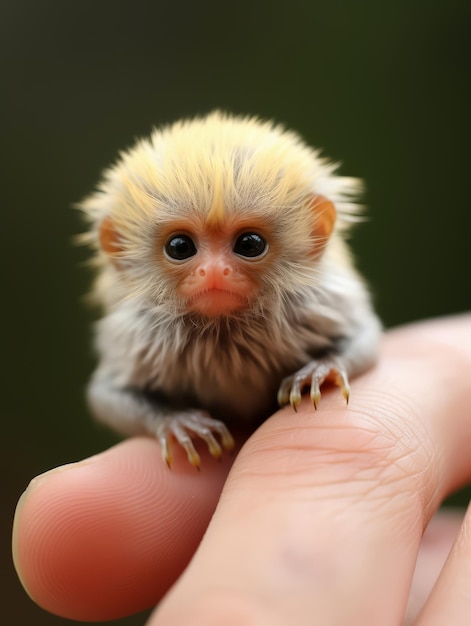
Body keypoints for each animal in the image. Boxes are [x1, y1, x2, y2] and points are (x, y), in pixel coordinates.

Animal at [80, 109, 384, 466]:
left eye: (249, 244)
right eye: (180, 247)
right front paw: (176, 422)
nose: (214, 272)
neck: (224, 328)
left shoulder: (319, 303)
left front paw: (321, 369)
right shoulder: (138, 334)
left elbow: (366, 336)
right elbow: (105, 395)